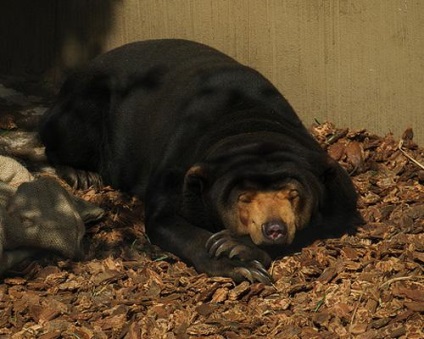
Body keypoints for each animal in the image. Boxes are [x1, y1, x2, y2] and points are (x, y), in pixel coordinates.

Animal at [39, 39, 362, 284]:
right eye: (244, 198)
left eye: (293, 194)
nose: (274, 228)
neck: (246, 124)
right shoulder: (177, 167)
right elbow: (165, 220)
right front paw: (238, 264)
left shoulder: (330, 178)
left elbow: (333, 217)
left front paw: (234, 246)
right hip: (84, 105)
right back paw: (80, 174)